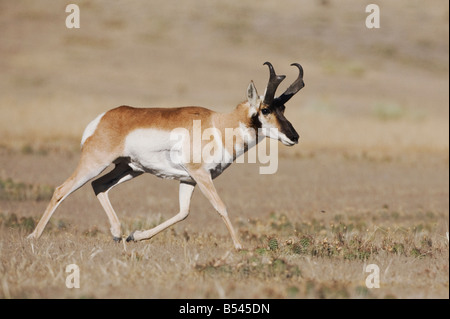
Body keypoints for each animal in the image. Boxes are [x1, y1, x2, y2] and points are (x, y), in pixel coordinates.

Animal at [27, 62, 302, 251]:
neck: (218, 124)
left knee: (99, 186)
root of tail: (104, 117)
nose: (294, 136)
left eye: (283, 107)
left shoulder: (188, 180)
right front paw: (239, 246)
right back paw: (33, 236)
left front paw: (135, 235)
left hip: (129, 169)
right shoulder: (200, 175)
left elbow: (183, 213)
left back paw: (118, 234)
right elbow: (220, 206)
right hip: (95, 163)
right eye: (265, 109)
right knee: (61, 190)